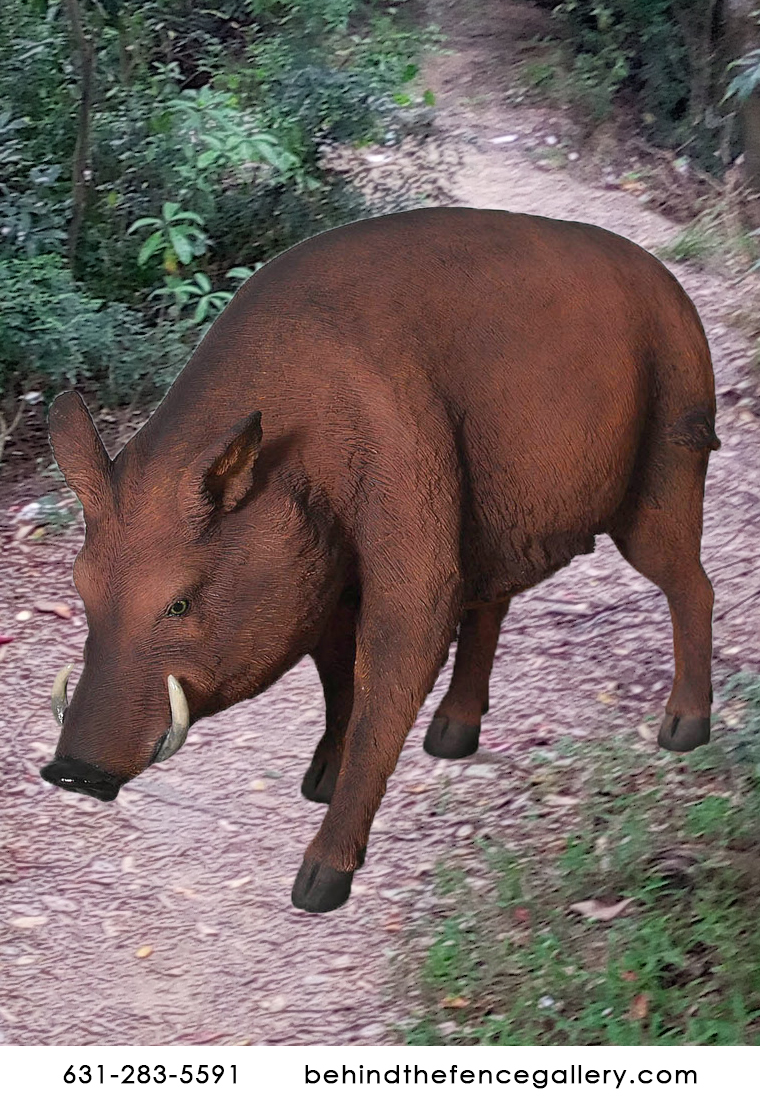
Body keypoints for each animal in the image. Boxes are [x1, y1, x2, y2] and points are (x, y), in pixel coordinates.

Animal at [41, 206, 720, 912]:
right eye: (82, 588)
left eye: (178, 602)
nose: (69, 772)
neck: (298, 460)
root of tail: (672, 288)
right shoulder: (324, 586)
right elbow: (338, 682)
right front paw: (317, 782)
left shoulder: (413, 538)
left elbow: (384, 685)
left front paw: (318, 885)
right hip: (502, 517)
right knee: (496, 602)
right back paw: (450, 739)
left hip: (671, 463)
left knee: (693, 585)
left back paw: (684, 730)